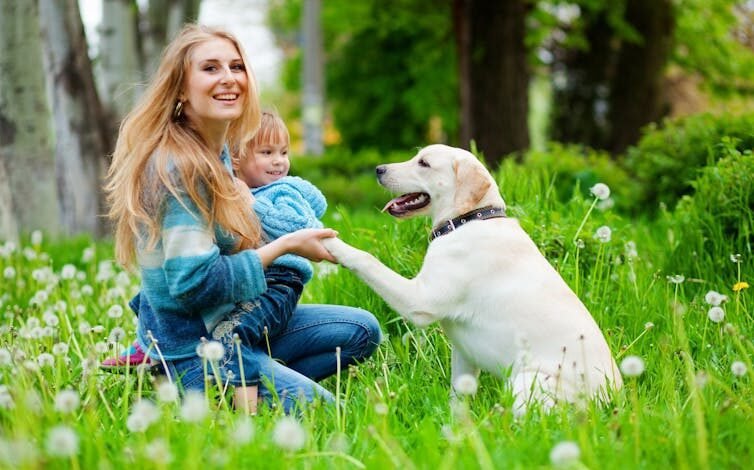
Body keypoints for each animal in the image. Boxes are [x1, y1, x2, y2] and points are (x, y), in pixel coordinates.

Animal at [320, 144, 620, 414]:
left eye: (424, 163)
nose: (378, 169)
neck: (470, 220)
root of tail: (613, 402)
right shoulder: (463, 353)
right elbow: (458, 397)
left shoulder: (419, 301)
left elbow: (367, 259)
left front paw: (331, 243)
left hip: (526, 382)